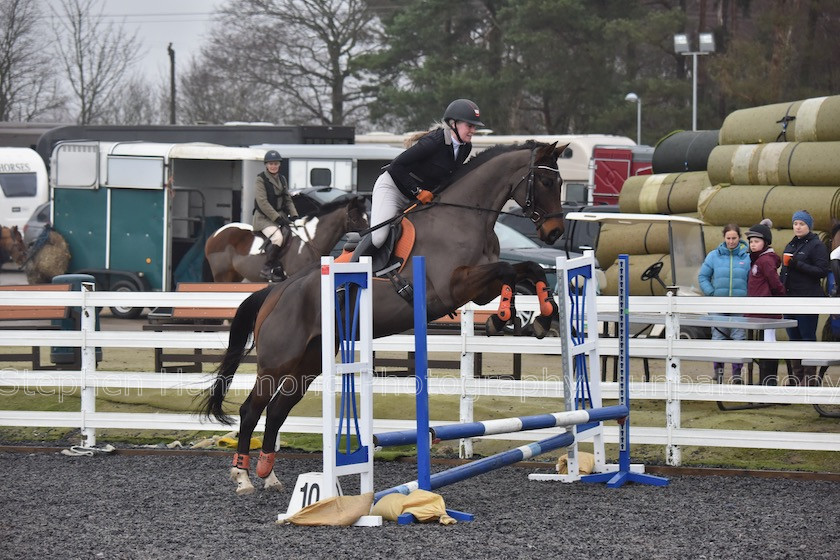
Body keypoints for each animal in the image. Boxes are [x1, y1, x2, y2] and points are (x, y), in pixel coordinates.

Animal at [204, 195, 368, 282]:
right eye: (355, 218)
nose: (368, 234)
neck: (310, 241)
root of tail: (213, 235)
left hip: (235, 276)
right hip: (222, 277)